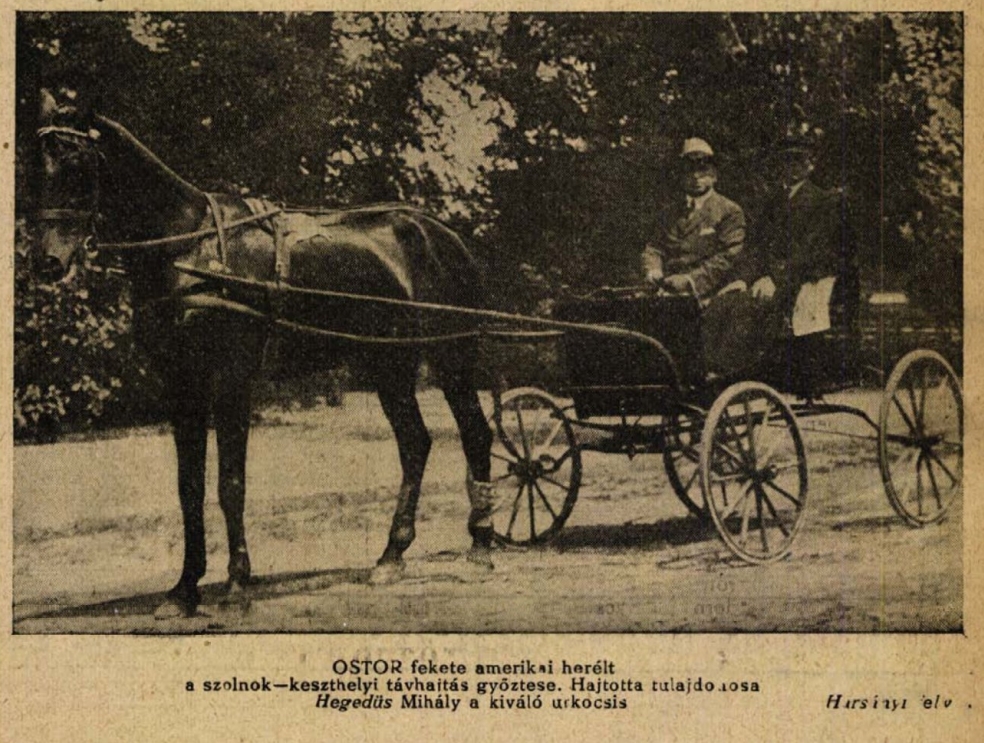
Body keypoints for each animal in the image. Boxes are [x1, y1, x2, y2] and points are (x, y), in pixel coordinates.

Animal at [32, 90, 496, 618]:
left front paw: (237, 583)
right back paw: (391, 555)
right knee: (415, 443)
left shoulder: (231, 378)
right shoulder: (181, 383)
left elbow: (230, 484)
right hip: (388, 363)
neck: (192, 245)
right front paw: (184, 589)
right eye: (37, 166)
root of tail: (445, 234)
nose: (47, 261)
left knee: (475, 433)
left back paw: (481, 546)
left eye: (76, 163)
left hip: (451, 355)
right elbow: (189, 486)